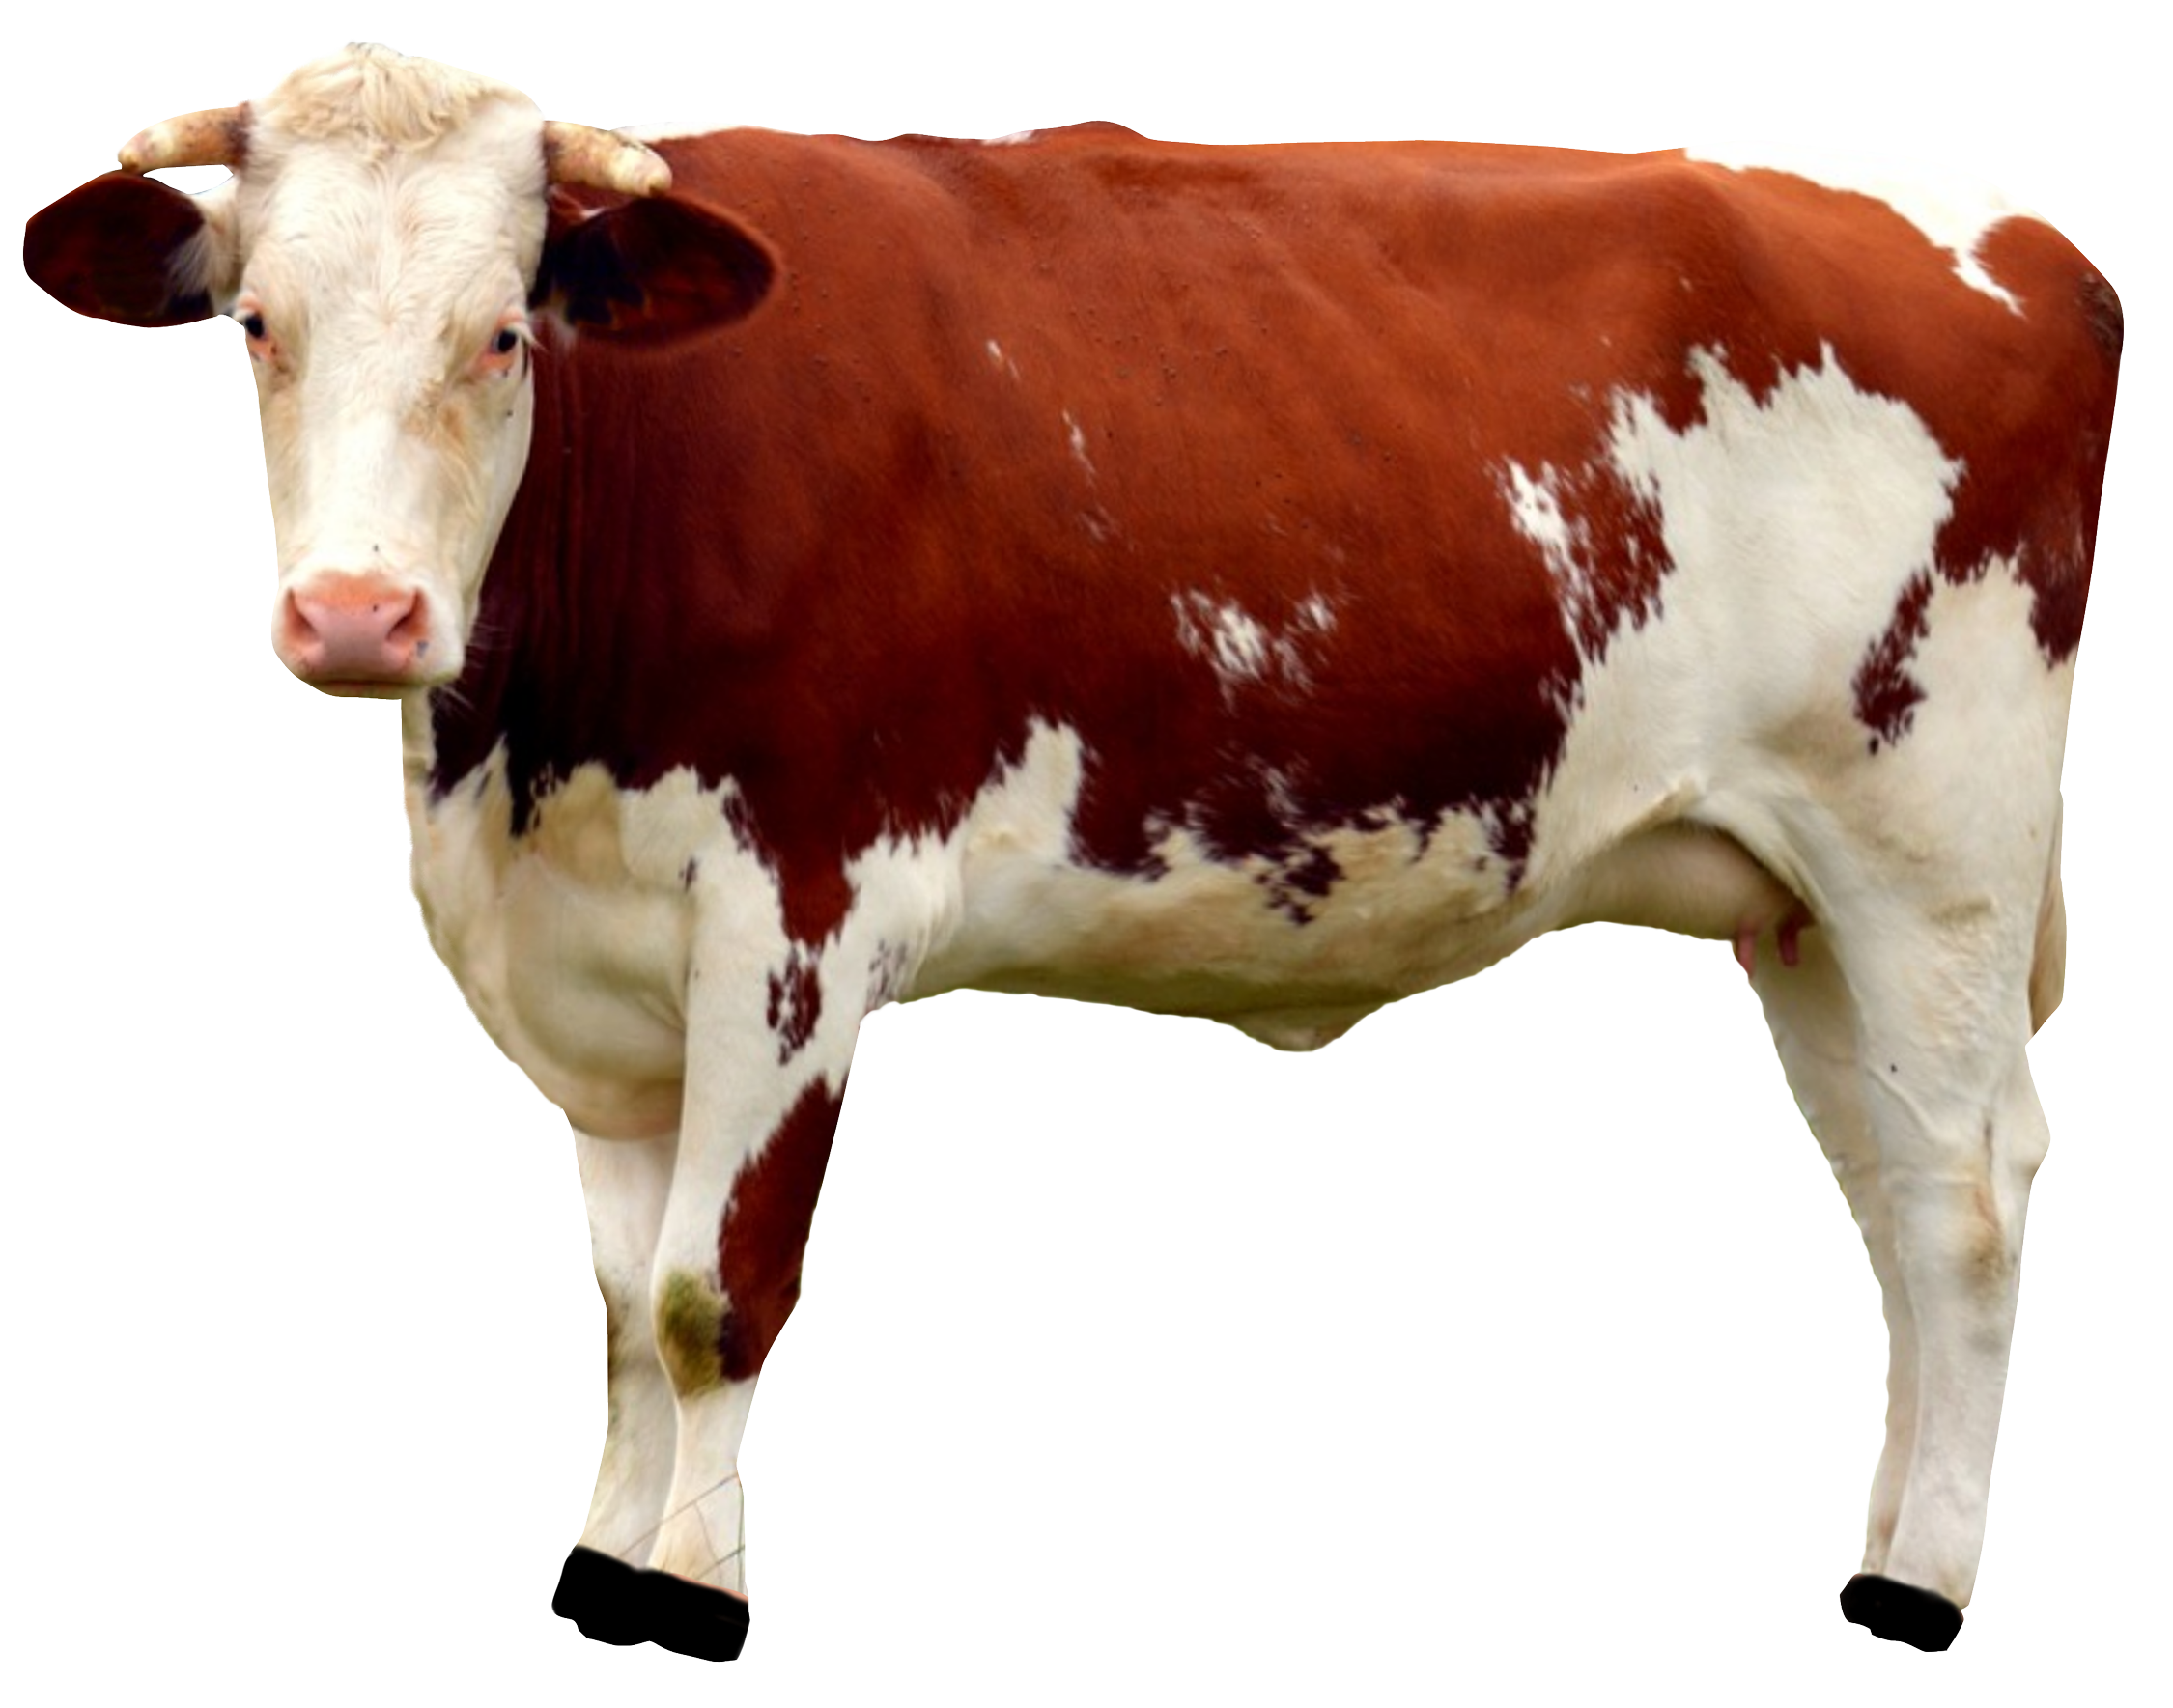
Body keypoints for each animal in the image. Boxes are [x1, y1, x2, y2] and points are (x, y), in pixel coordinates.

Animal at [23, 39, 2120, 1664]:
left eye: (502, 329)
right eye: (260, 323)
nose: (357, 614)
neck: (524, 757)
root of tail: (2014, 237)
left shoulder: (796, 914)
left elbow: (715, 1292)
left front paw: (696, 1589)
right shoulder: (595, 964)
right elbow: (621, 1306)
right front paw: (605, 1560)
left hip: (1929, 846)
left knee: (1964, 1197)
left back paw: (1921, 1590)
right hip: (1800, 905)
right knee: (1886, 1201)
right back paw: (1881, 1539)